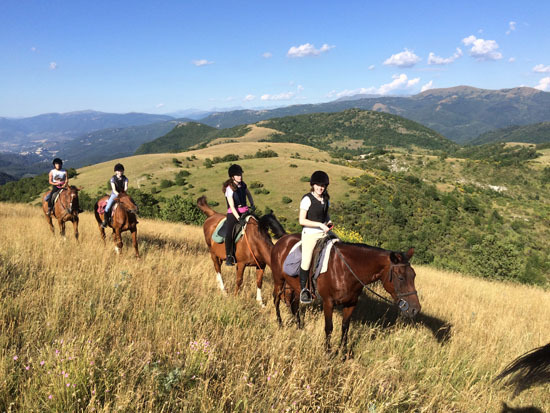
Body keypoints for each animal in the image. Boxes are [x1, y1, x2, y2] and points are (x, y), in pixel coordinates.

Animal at [272, 232, 422, 350]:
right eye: (401, 278)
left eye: (414, 275)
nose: (415, 309)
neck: (345, 269)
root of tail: (282, 240)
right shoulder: (328, 302)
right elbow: (329, 327)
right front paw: (328, 352)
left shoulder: (351, 303)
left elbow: (345, 328)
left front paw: (343, 353)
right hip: (279, 281)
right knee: (277, 300)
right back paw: (280, 324)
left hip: (294, 286)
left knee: (294, 304)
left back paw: (299, 327)